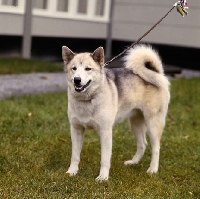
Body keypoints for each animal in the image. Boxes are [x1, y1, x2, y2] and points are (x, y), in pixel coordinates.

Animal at [61, 44, 170, 180]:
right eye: (74, 68)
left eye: (88, 69)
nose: (77, 80)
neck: (87, 100)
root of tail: (157, 73)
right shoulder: (76, 129)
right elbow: (75, 155)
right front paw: (72, 172)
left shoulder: (105, 131)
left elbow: (105, 158)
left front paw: (103, 177)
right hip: (135, 123)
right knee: (143, 144)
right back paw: (133, 162)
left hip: (153, 124)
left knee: (156, 147)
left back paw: (153, 169)